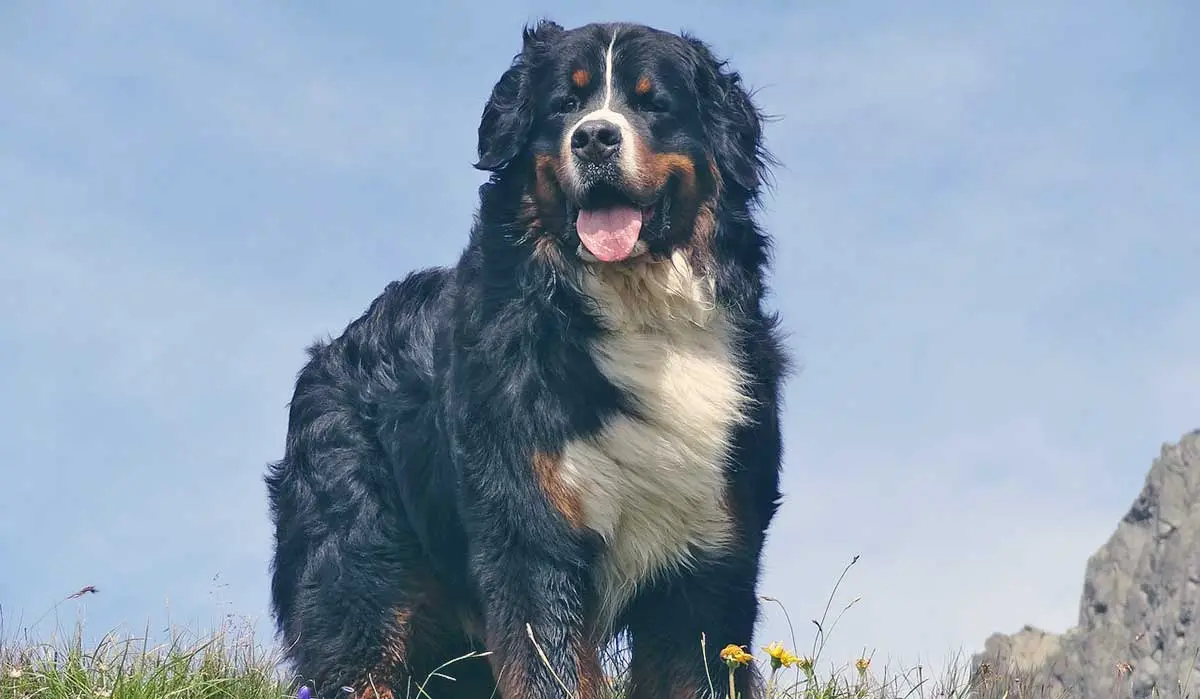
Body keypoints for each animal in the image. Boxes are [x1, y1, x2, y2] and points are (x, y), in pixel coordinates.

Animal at [265, 17, 787, 699]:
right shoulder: (532, 533)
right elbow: (549, 665)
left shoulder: (709, 555)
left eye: (654, 102)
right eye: (564, 104)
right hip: (360, 567)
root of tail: (332, 349)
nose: (593, 137)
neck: (638, 314)